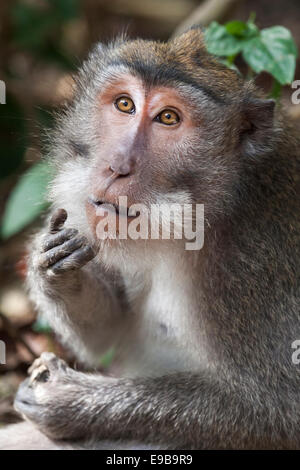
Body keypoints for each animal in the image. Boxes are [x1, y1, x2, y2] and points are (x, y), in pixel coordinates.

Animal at [0, 26, 300, 452]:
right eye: (124, 104)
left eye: (168, 118)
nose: (116, 166)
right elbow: (112, 332)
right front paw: (53, 264)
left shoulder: (255, 264)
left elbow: (280, 412)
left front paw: (69, 400)